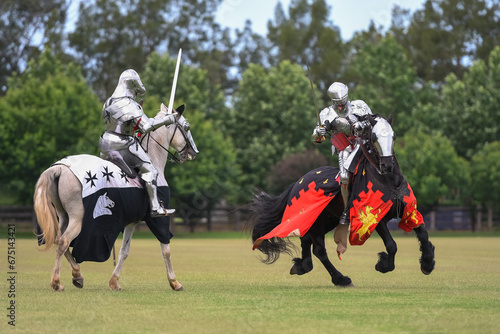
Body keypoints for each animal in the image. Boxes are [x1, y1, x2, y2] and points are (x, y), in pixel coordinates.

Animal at [32, 103, 197, 290]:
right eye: (187, 127)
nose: (193, 153)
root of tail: (60, 167)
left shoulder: (131, 222)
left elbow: (124, 251)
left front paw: (114, 281)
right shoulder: (158, 220)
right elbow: (166, 250)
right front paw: (175, 282)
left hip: (63, 216)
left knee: (58, 240)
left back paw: (77, 275)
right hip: (77, 218)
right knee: (63, 242)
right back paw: (57, 282)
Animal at [246, 116, 434, 286]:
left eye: (393, 135)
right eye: (374, 137)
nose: (387, 166)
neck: (389, 182)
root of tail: (297, 183)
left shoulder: (409, 211)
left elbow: (423, 234)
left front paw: (427, 262)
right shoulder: (373, 218)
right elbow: (392, 245)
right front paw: (383, 264)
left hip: (325, 221)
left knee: (306, 242)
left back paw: (303, 266)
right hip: (316, 223)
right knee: (320, 251)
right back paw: (340, 279)